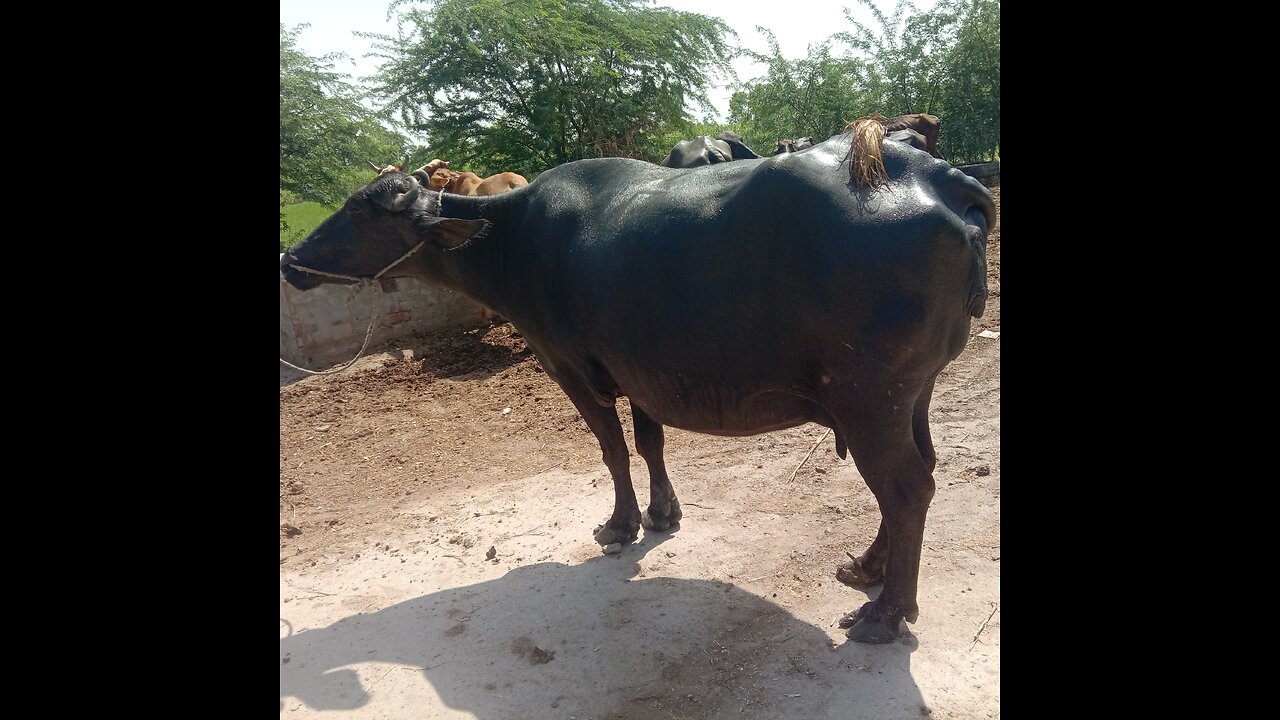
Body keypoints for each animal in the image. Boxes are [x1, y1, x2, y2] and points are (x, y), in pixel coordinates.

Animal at [285, 127, 993, 638]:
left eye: (359, 209)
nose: (292, 259)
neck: (513, 240)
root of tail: (938, 176)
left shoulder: (571, 368)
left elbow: (612, 448)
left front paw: (621, 524)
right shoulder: (643, 370)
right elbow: (650, 441)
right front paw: (663, 513)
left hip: (870, 399)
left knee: (906, 487)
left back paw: (886, 613)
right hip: (915, 393)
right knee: (921, 471)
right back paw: (867, 569)